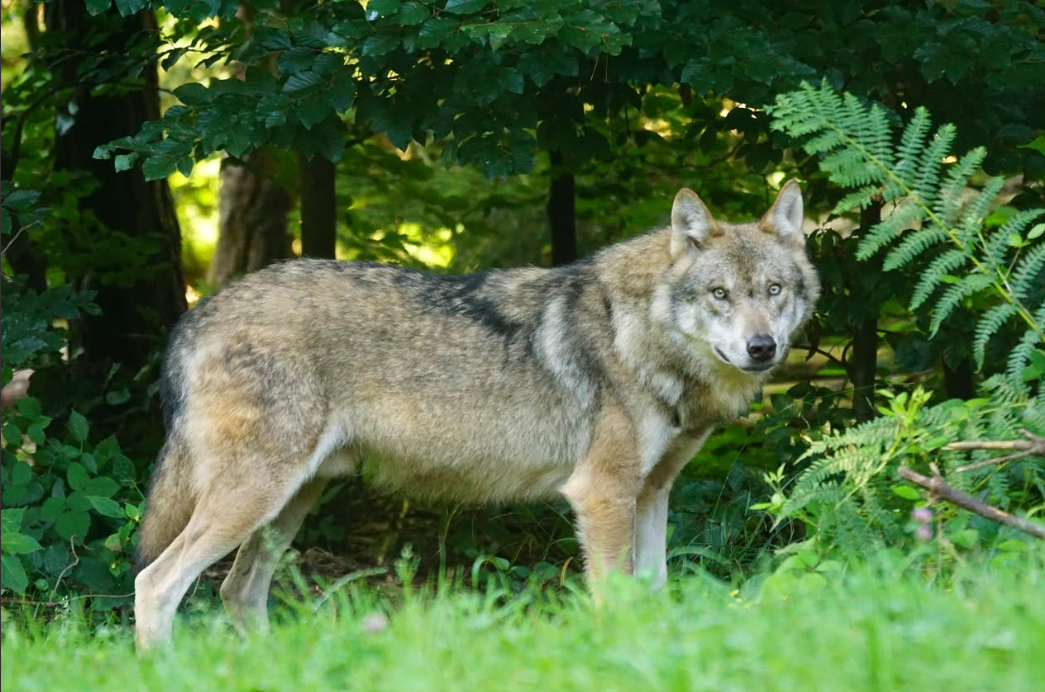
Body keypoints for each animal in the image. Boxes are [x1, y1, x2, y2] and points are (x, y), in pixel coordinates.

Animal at [133, 180, 819, 647]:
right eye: (720, 294)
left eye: (773, 291)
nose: (762, 348)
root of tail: (197, 314)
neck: (640, 334)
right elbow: (616, 602)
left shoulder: (652, 493)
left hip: (289, 504)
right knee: (156, 583)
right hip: (255, 498)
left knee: (237, 591)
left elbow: (654, 595)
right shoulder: (602, 495)